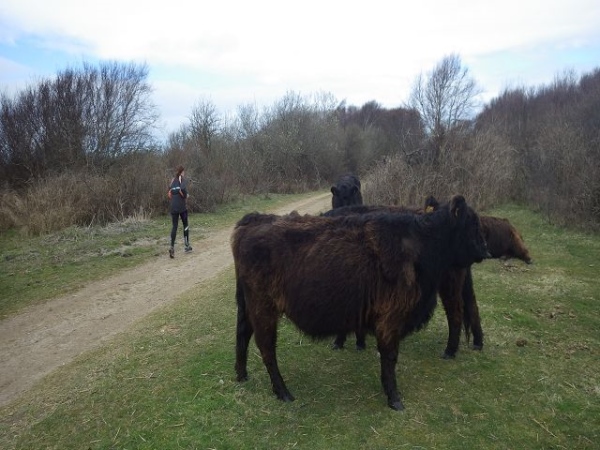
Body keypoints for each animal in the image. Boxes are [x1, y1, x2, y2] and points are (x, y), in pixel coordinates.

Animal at [324, 203, 484, 357]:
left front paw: (341, 342)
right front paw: (358, 342)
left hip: (449, 280)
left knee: (455, 311)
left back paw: (450, 351)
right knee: (472, 305)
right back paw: (478, 343)